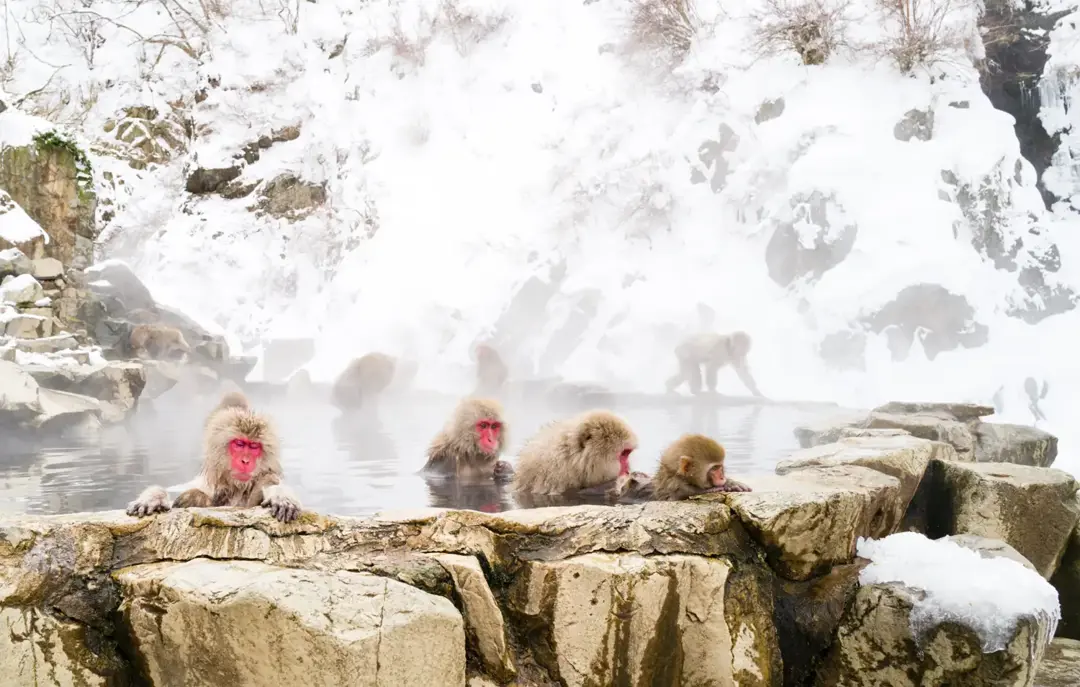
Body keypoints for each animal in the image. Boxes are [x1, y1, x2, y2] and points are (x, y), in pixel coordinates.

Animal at [126, 390, 302, 522]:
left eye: (253, 446)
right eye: (239, 444)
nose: (245, 461)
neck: (235, 488)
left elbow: (271, 481)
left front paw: (280, 495)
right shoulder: (205, 483)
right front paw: (153, 497)